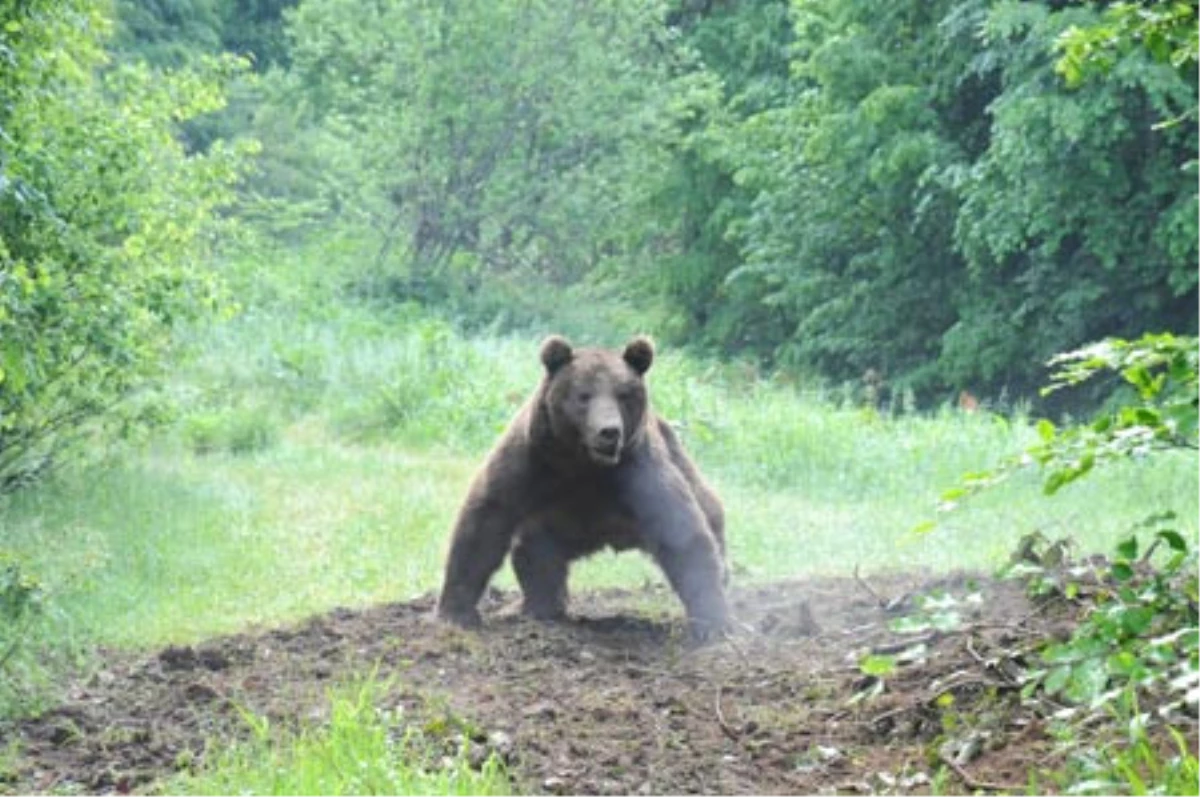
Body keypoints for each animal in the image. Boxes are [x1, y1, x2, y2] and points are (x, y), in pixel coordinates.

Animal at [434, 333, 724, 638]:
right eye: (584, 395)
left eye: (623, 394)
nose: (609, 432)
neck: (585, 465)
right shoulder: (532, 462)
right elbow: (487, 519)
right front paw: (456, 612)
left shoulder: (637, 472)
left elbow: (681, 530)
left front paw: (714, 621)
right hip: (555, 528)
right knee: (533, 555)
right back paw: (539, 605)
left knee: (711, 513)